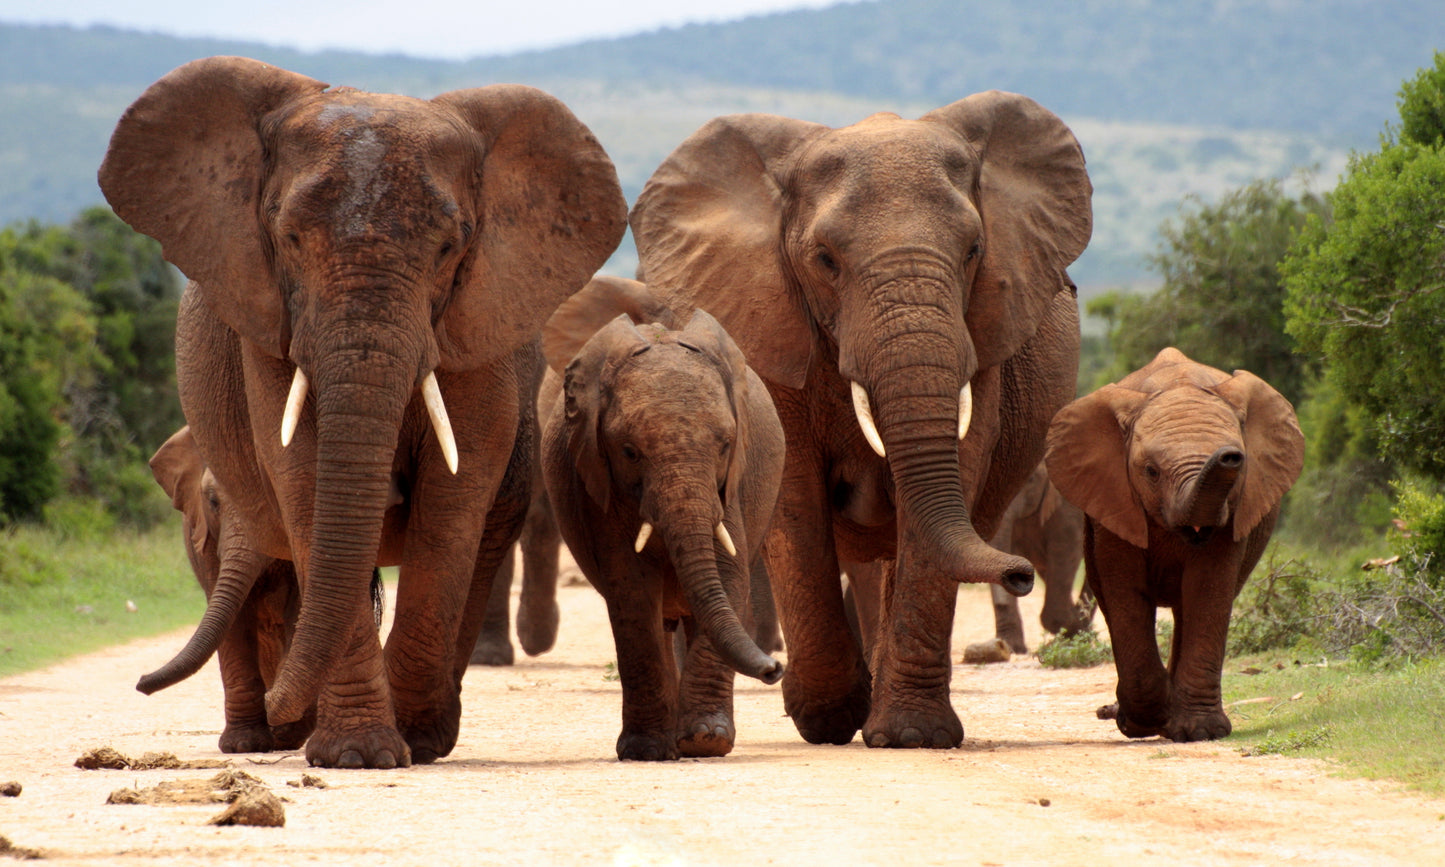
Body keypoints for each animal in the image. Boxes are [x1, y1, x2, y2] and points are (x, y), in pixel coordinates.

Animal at [96, 57, 627, 768]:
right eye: (289, 238)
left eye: (450, 248)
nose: (138, 684)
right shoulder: (271, 322)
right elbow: (303, 481)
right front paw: (357, 755)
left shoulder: (476, 324)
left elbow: (453, 499)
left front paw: (408, 742)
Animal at [543, 275, 791, 757]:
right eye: (629, 452)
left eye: (725, 445)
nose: (775, 668)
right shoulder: (598, 483)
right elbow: (631, 588)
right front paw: (647, 751)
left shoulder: (730, 487)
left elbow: (729, 574)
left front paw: (706, 740)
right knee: (658, 618)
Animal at [627, 93, 1086, 745]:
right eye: (825, 260)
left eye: (974, 251)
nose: (1021, 572)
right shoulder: (768, 325)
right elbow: (793, 490)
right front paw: (827, 718)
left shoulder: (984, 335)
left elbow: (956, 470)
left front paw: (912, 735)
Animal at [1046, 348, 1306, 739]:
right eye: (1151, 472)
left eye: (1240, 466)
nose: (1230, 455)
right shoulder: (1115, 498)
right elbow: (1124, 589)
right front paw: (1139, 723)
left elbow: (1207, 589)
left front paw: (1199, 732)